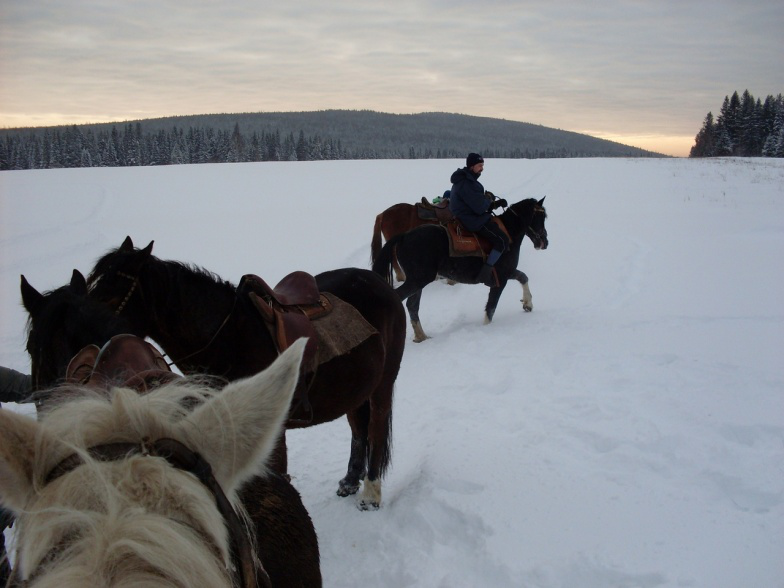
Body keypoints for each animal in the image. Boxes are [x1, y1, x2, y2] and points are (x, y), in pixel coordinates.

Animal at [86, 238, 408, 510]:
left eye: (110, 294)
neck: (228, 338)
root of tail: (382, 285)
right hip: (357, 388)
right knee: (359, 429)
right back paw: (350, 481)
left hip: (382, 384)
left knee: (376, 428)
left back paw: (371, 493)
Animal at [372, 195, 544, 342]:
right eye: (540, 218)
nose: (544, 242)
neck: (508, 234)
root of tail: (404, 236)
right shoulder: (500, 279)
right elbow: (491, 307)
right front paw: (487, 328)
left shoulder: (507, 273)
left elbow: (523, 277)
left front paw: (527, 304)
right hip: (417, 280)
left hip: (418, 281)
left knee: (412, 306)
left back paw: (421, 337)